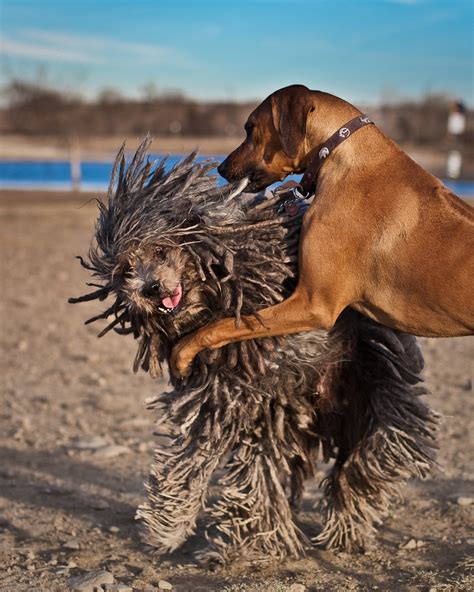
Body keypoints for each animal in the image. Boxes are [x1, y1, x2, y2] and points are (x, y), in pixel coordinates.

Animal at [71, 136, 440, 560]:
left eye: (160, 251)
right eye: (124, 270)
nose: (150, 288)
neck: (212, 303)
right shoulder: (214, 396)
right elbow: (191, 456)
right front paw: (166, 526)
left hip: (376, 393)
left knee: (371, 455)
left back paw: (345, 522)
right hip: (274, 423)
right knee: (265, 476)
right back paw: (258, 541)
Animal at [170, 82, 474, 374]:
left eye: (250, 128)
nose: (222, 168)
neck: (337, 152)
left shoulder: (313, 304)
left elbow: (226, 325)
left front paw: (183, 352)